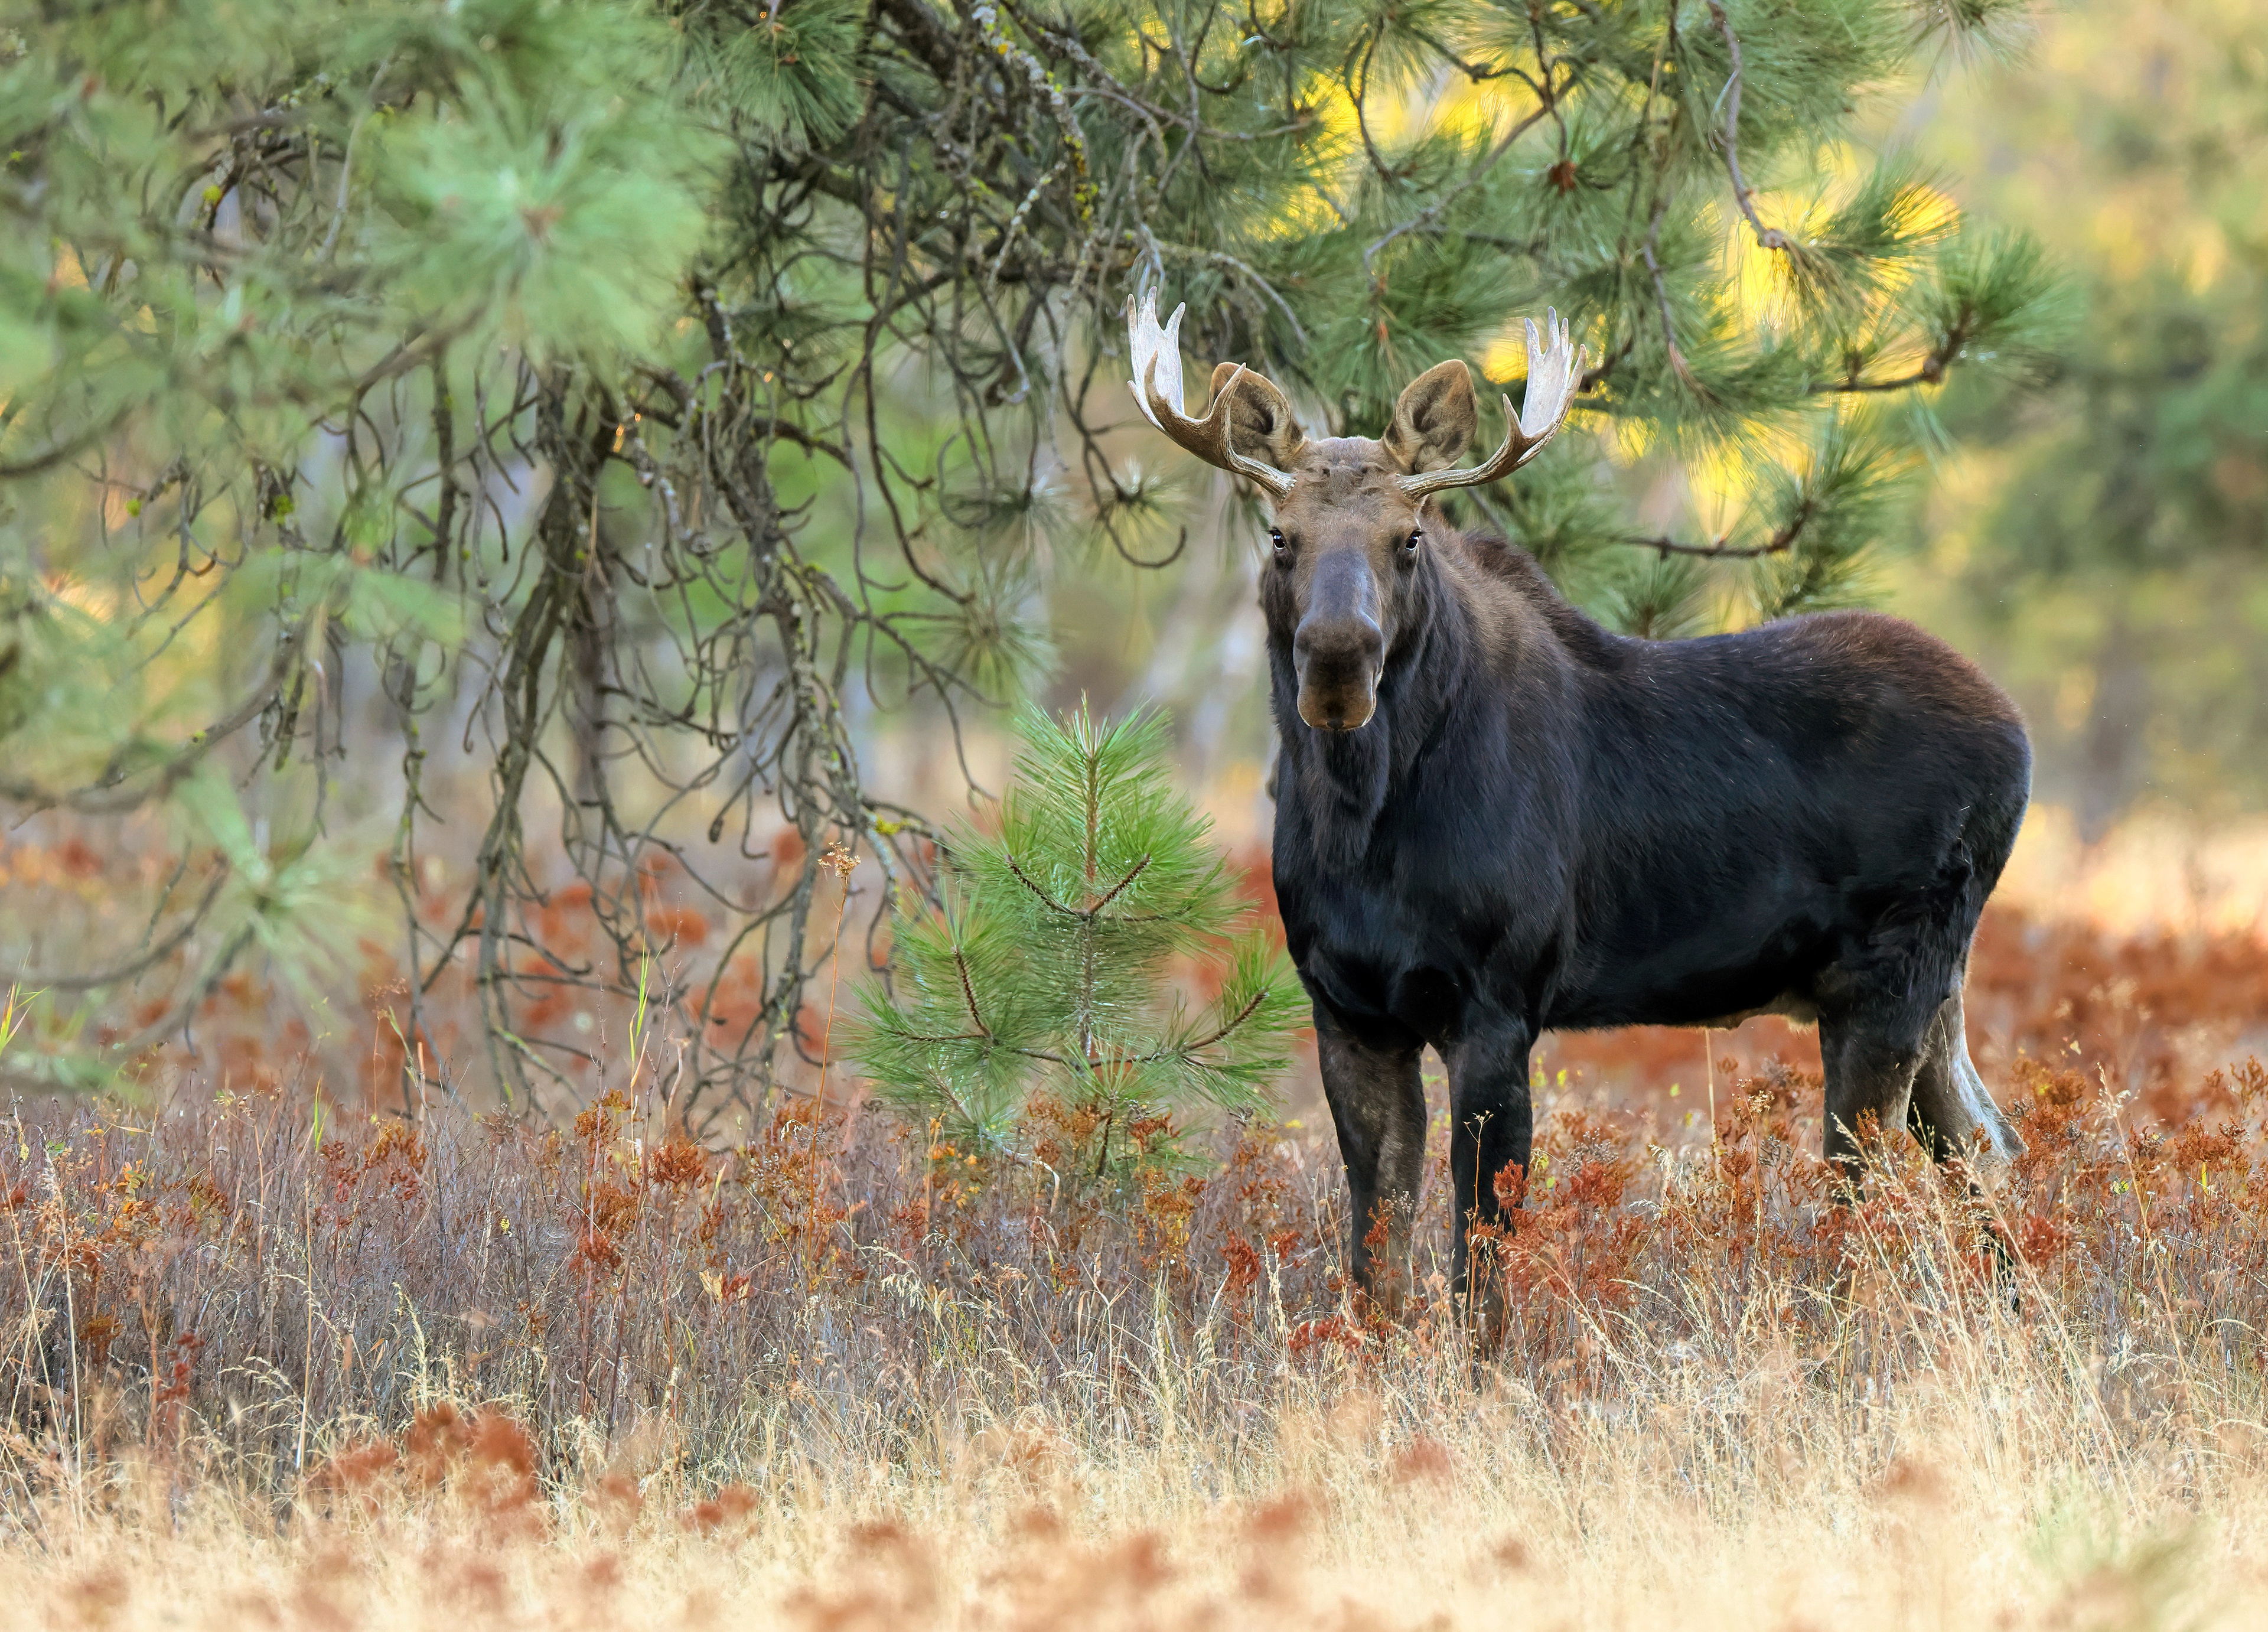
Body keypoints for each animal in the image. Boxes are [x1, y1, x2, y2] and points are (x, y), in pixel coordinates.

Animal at [1125, 290, 2032, 1314]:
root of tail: (2019, 740)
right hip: (1925, 987)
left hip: (1888, 975)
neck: (1363, 824)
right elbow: (1375, 1262)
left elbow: (1481, 1259)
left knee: (1869, 1192)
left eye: (1409, 537)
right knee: (1987, 1144)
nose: (1337, 660)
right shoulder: (1349, 1009)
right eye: (1281, 535)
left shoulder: (1497, 1004)